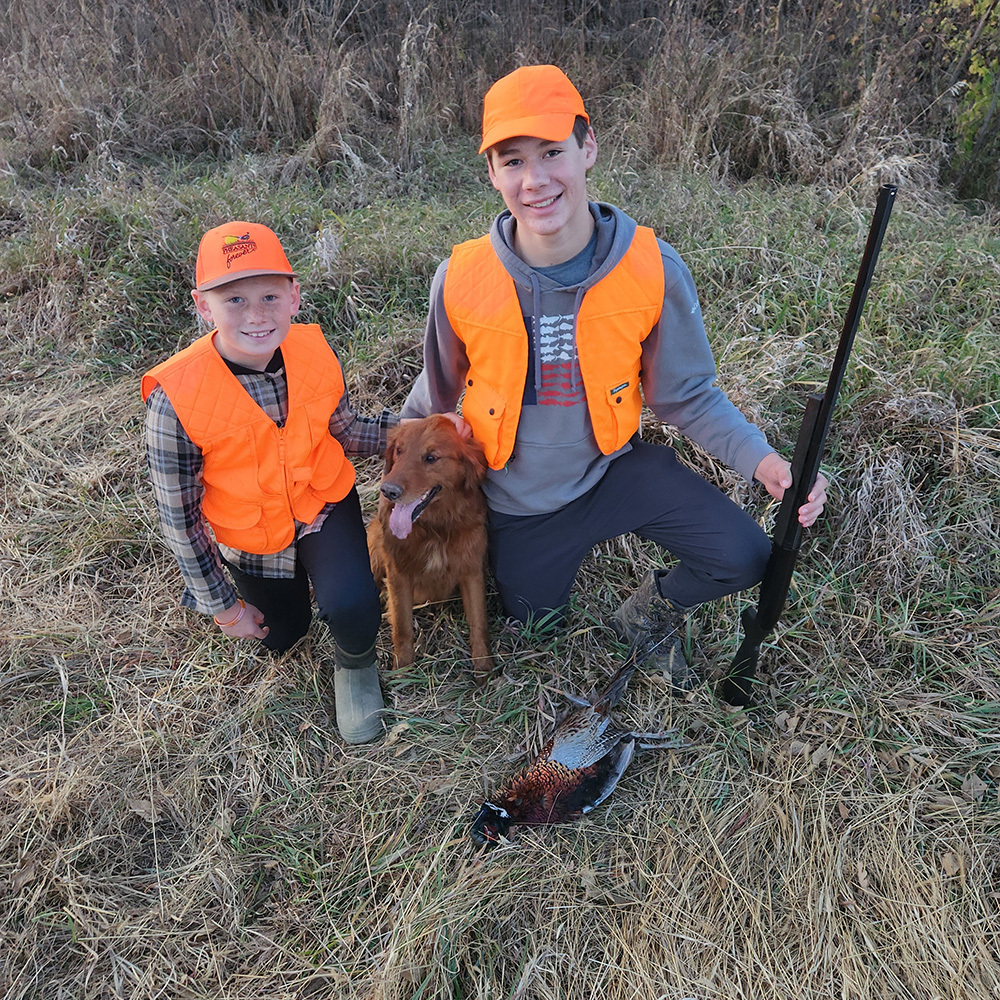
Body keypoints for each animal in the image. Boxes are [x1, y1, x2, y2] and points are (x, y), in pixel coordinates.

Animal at [366, 414, 494, 680]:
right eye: (399, 451)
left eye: (431, 458)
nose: (388, 490)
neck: (435, 527)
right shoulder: (398, 573)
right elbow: (402, 625)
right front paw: (403, 670)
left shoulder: (472, 570)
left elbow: (479, 622)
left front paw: (484, 668)